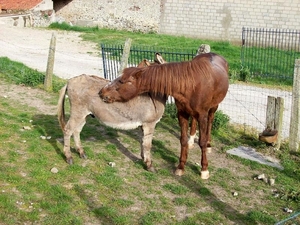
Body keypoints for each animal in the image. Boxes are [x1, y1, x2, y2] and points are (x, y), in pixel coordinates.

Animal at [99, 53, 229, 179]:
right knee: (194, 122)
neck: (190, 85)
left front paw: (204, 169)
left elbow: (202, 142)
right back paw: (191, 141)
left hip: (213, 107)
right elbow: (183, 140)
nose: (102, 92)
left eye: (122, 81)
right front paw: (180, 167)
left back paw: (208, 145)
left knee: (210, 122)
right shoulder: (182, 113)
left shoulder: (202, 115)